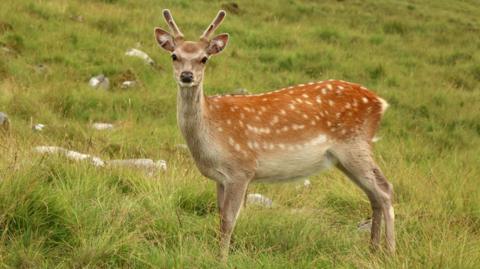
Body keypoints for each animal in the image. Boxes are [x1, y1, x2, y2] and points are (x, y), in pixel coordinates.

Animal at [154, 9, 394, 258]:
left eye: (204, 58)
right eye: (174, 56)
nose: (187, 75)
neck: (211, 133)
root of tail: (380, 103)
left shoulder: (241, 170)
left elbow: (228, 219)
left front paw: (222, 258)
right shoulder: (220, 178)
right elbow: (220, 216)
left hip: (354, 144)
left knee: (385, 189)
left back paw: (390, 250)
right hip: (344, 157)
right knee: (373, 193)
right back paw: (373, 248)